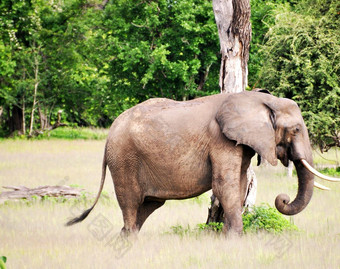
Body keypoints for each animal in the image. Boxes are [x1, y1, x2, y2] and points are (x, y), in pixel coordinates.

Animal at [65, 90, 338, 234]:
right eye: (295, 129)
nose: (282, 199)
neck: (254, 98)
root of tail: (109, 133)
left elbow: (238, 186)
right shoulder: (221, 141)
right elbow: (224, 186)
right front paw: (236, 239)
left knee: (147, 206)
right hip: (123, 159)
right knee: (131, 204)